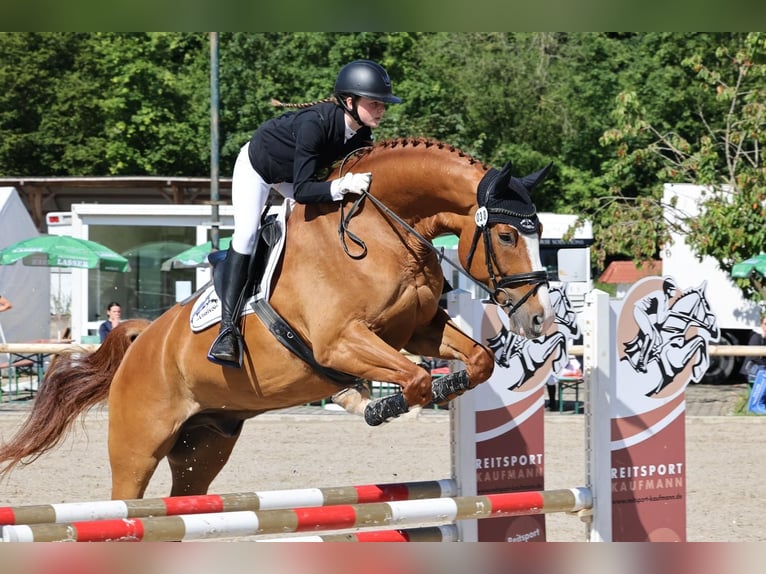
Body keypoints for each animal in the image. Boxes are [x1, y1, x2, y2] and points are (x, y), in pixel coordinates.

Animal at [0, 138, 554, 500]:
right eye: (508, 235)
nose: (538, 320)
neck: (381, 232)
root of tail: (142, 339)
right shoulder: (340, 341)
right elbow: (413, 377)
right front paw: (379, 405)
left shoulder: (415, 329)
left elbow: (478, 361)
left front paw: (443, 386)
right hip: (138, 447)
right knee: (127, 501)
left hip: (205, 444)